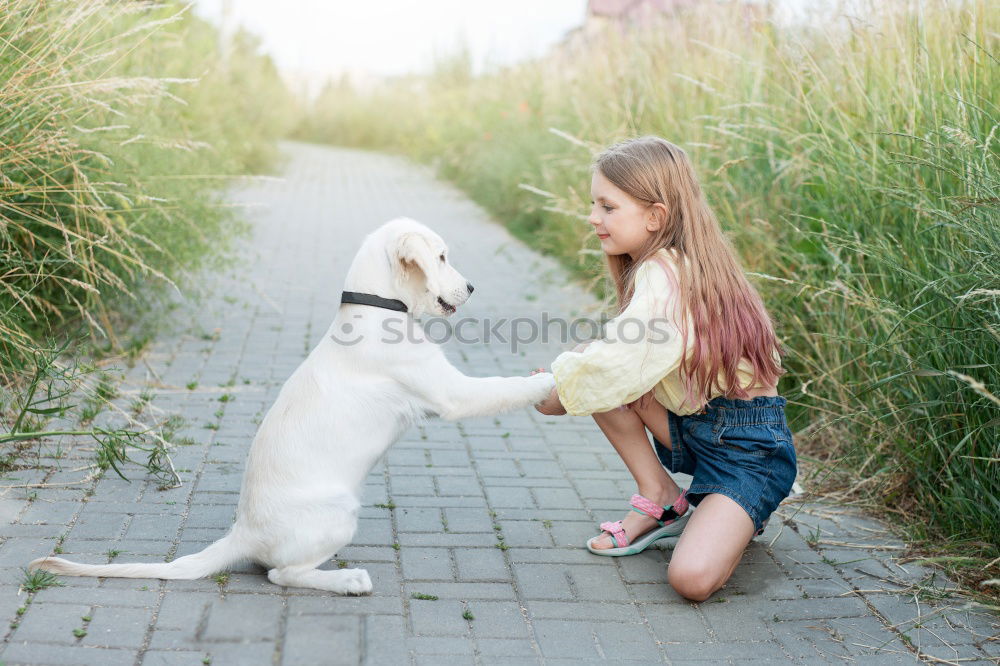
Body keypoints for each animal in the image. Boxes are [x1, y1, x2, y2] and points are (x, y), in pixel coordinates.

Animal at [31, 217, 560, 592]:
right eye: (443, 256)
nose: (471, 288)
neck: (377, 308)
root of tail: (242, 534)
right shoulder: (451, 394)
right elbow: (505, 387)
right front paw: (555, 380)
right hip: (340, 511)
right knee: (281, 574)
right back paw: (347, 581)